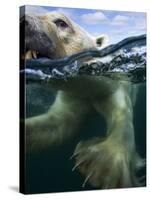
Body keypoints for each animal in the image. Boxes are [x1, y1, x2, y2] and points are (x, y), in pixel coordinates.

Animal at [22, 10, 145, 189]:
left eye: (61, 22)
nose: (22, 20)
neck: (89, 85)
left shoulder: (116, 84)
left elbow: (122, 113)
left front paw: (101, 163)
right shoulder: (74, 96)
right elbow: (56, 125)